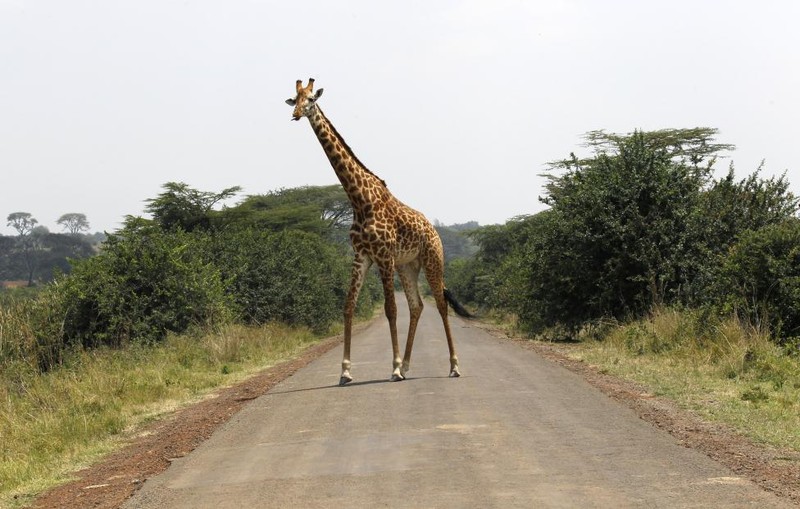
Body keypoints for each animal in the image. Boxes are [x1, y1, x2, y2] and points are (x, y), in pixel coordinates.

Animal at [284, 77, 468, 382]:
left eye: (310, 99)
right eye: (293, 99)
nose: (295, 114)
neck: (359, 200)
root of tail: (434, 231)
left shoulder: (383, 256)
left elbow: (390, 309)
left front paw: (393, 367)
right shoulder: (361, 256)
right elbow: (348, 307)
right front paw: (345, 371)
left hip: (433, 259)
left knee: (441, 304)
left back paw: (453, 365)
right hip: (407, 266)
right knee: (417, 305)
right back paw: (408, 365)